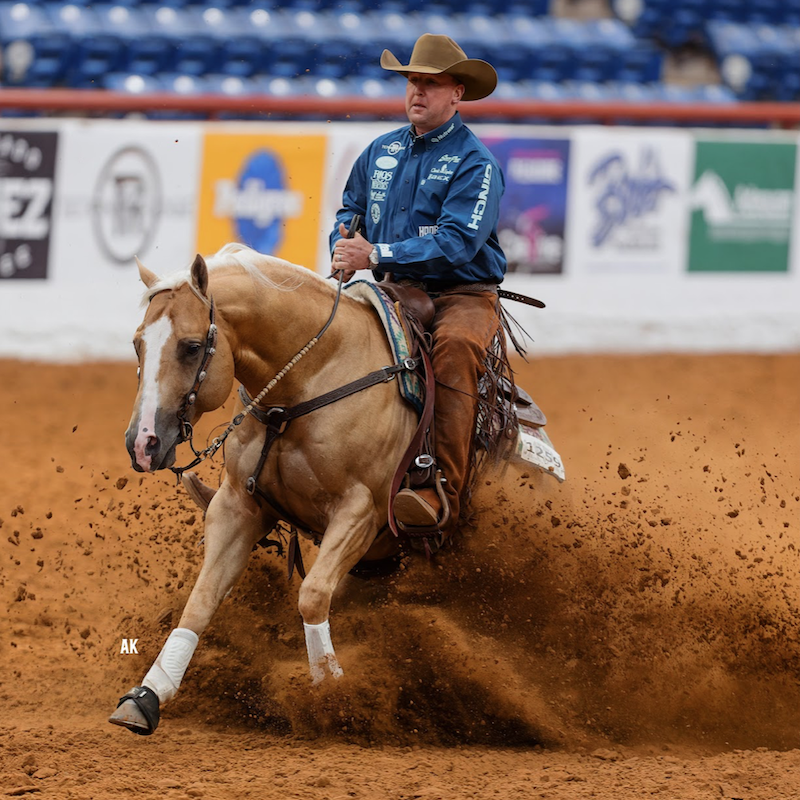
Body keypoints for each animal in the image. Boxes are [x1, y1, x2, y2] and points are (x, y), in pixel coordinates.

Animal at [108, 244, 421, 735]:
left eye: (191, 347)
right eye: (138, 343)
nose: (142, 443)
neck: (309, 380)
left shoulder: (361, 512)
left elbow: (312, 595)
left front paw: (331, 693)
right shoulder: (238, 506)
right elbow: (201, 600)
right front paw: (148, 695)